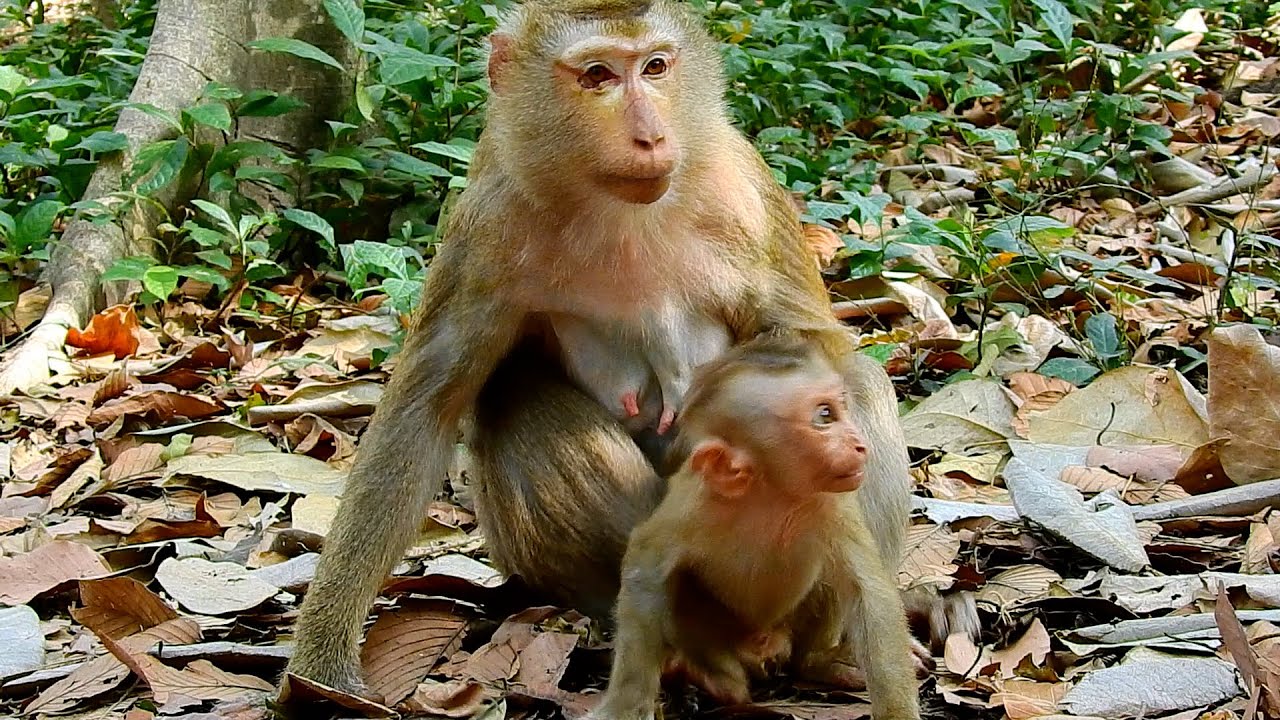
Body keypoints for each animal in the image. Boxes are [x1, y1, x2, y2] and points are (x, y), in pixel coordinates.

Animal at [591, 332, 920, 720]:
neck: (771, 492)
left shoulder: (834, 505)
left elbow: (865, 589)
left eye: (840, 408)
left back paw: (817, 663)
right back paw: (710, 675)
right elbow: (647, 567)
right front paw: (624, 704)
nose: (859, 443)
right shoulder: (693, 505)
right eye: (824, 416)